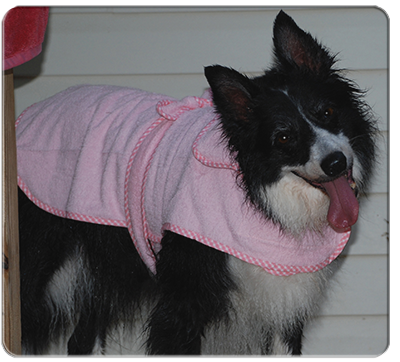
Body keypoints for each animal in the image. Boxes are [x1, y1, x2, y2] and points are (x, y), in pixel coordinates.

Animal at [17, 10, 376, 354]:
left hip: (108, 267)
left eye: (327, 112)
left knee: (82, 337)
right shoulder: (184, 300)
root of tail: (30, 114)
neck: (256, 192)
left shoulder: (283, 300)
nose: (336, 163)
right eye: (284, 137)